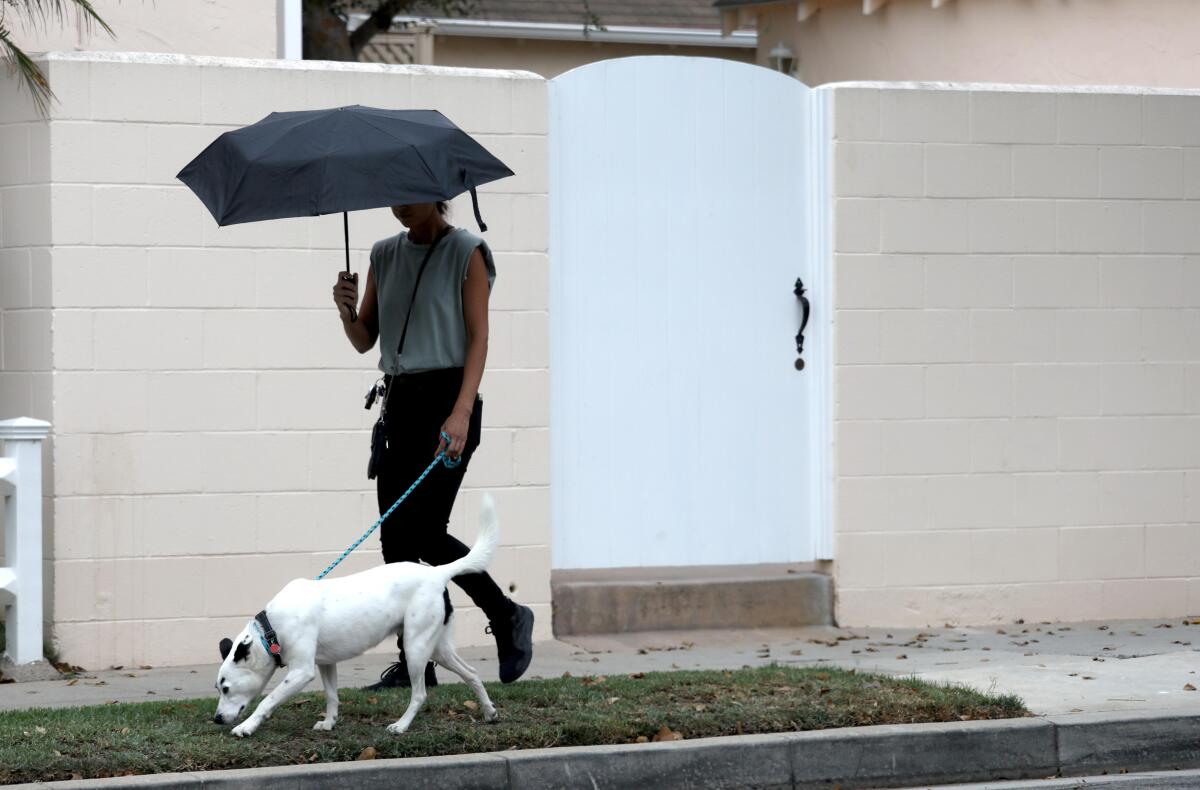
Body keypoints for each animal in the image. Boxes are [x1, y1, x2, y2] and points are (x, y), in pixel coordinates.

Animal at [212, 494, 496, 734]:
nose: (216, 719)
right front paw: (329, 723)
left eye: (226, 688)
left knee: (420, 694)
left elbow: (267, 701)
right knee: (471, 673)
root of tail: (437, 573)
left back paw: (401, 726)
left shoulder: (301, 672)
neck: (269, 630)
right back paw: (489, 712)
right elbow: (331, 695)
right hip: (437, 647)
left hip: (415, 648)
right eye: (218, 688)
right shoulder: (326, 663)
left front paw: (246, 727)